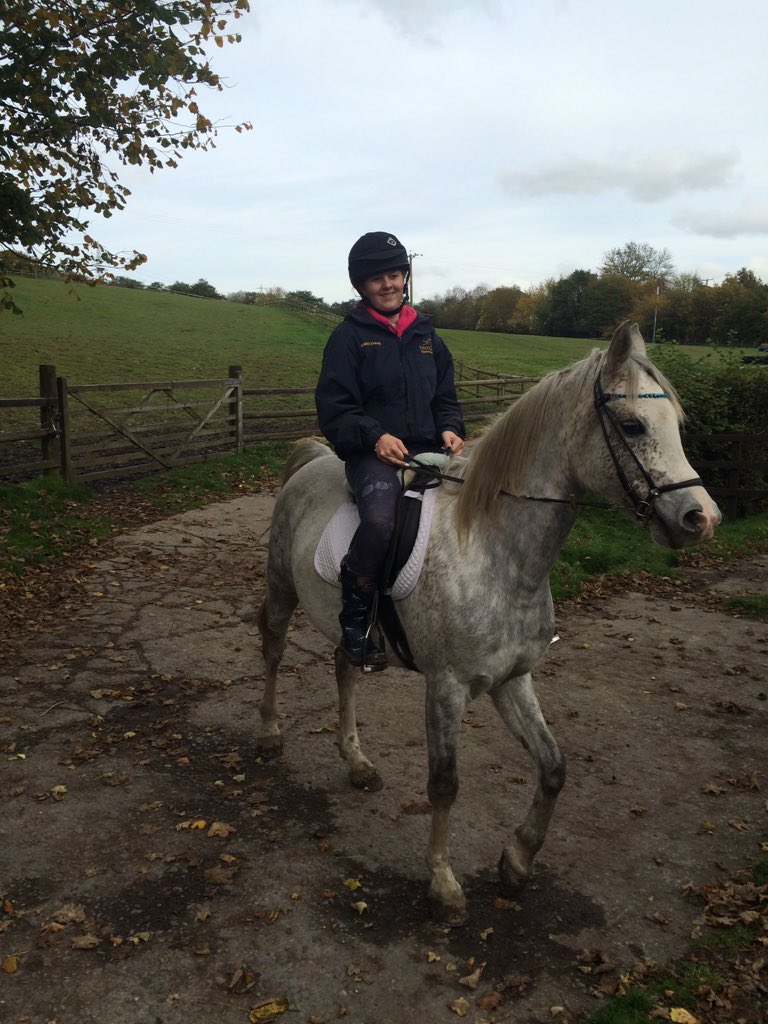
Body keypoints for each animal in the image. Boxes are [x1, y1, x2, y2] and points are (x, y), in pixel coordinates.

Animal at [256, 321, 721, 925]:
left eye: (676, 426)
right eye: (632, 425)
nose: (701, 518)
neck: (495, 552)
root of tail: (312, 459)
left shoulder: (513, 679)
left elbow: (554, 766)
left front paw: (517, 861)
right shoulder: (446, 687)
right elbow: (444, 785)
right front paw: (443, 885)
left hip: (349, 627)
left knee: (344, 664)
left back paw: (356, 763)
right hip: (281, 589)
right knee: (272, 648)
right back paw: (269, 733)